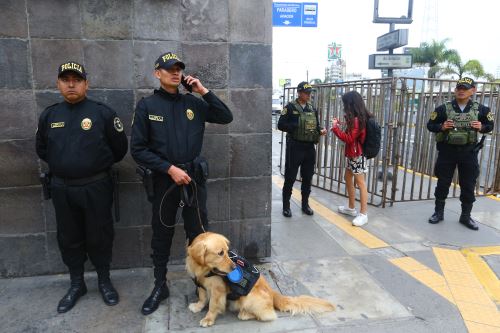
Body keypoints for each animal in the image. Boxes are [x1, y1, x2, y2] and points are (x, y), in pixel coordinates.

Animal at [185, 232, 336, 326]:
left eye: (227, 252)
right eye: (220, 253)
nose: (234, 268)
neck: (204, 269)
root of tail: (273, 293)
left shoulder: (218, 291)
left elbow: (213, 305)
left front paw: (208, 319)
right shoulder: (201, 285)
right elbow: (203, 298)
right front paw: (198, 307)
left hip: (248, 298)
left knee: (268, 315)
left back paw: (244, 314)